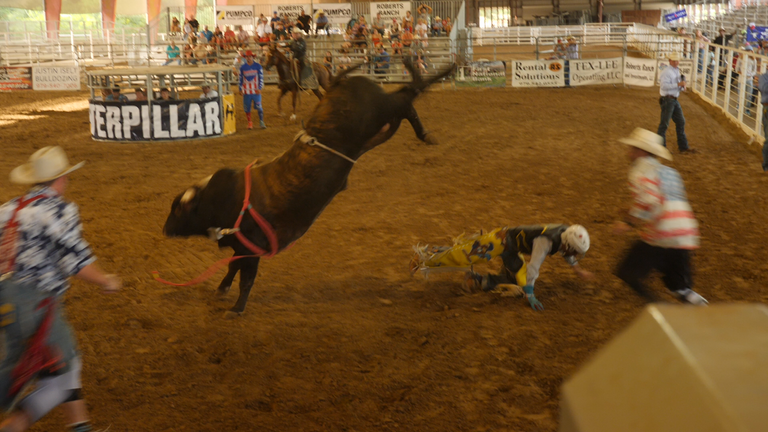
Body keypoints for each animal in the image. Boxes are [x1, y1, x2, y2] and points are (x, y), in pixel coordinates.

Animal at [160, 60, 450, 318]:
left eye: (178, 210)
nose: (164, 229)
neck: (220, 199)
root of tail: (341, 83)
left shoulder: (253, 247)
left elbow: (246, 278)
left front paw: (236, 309)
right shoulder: (241, 246)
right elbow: (233, 267)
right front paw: (221, 290)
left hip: (381, 110)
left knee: (408, 95)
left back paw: (436, 85)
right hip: (381, 123)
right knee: (407, 102)